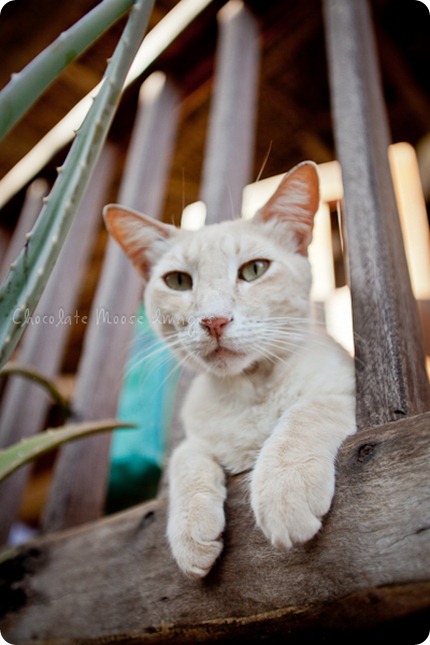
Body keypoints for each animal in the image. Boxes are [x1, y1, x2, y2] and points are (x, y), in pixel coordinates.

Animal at [103, 161, 356, 580]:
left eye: (254, 270)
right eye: (178, 281)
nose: (214, 320)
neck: (249, 392)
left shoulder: (353, 393)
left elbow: (310, 409)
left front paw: (285, 487)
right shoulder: (194, 438)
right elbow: (185, 457)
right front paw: (190, 533)